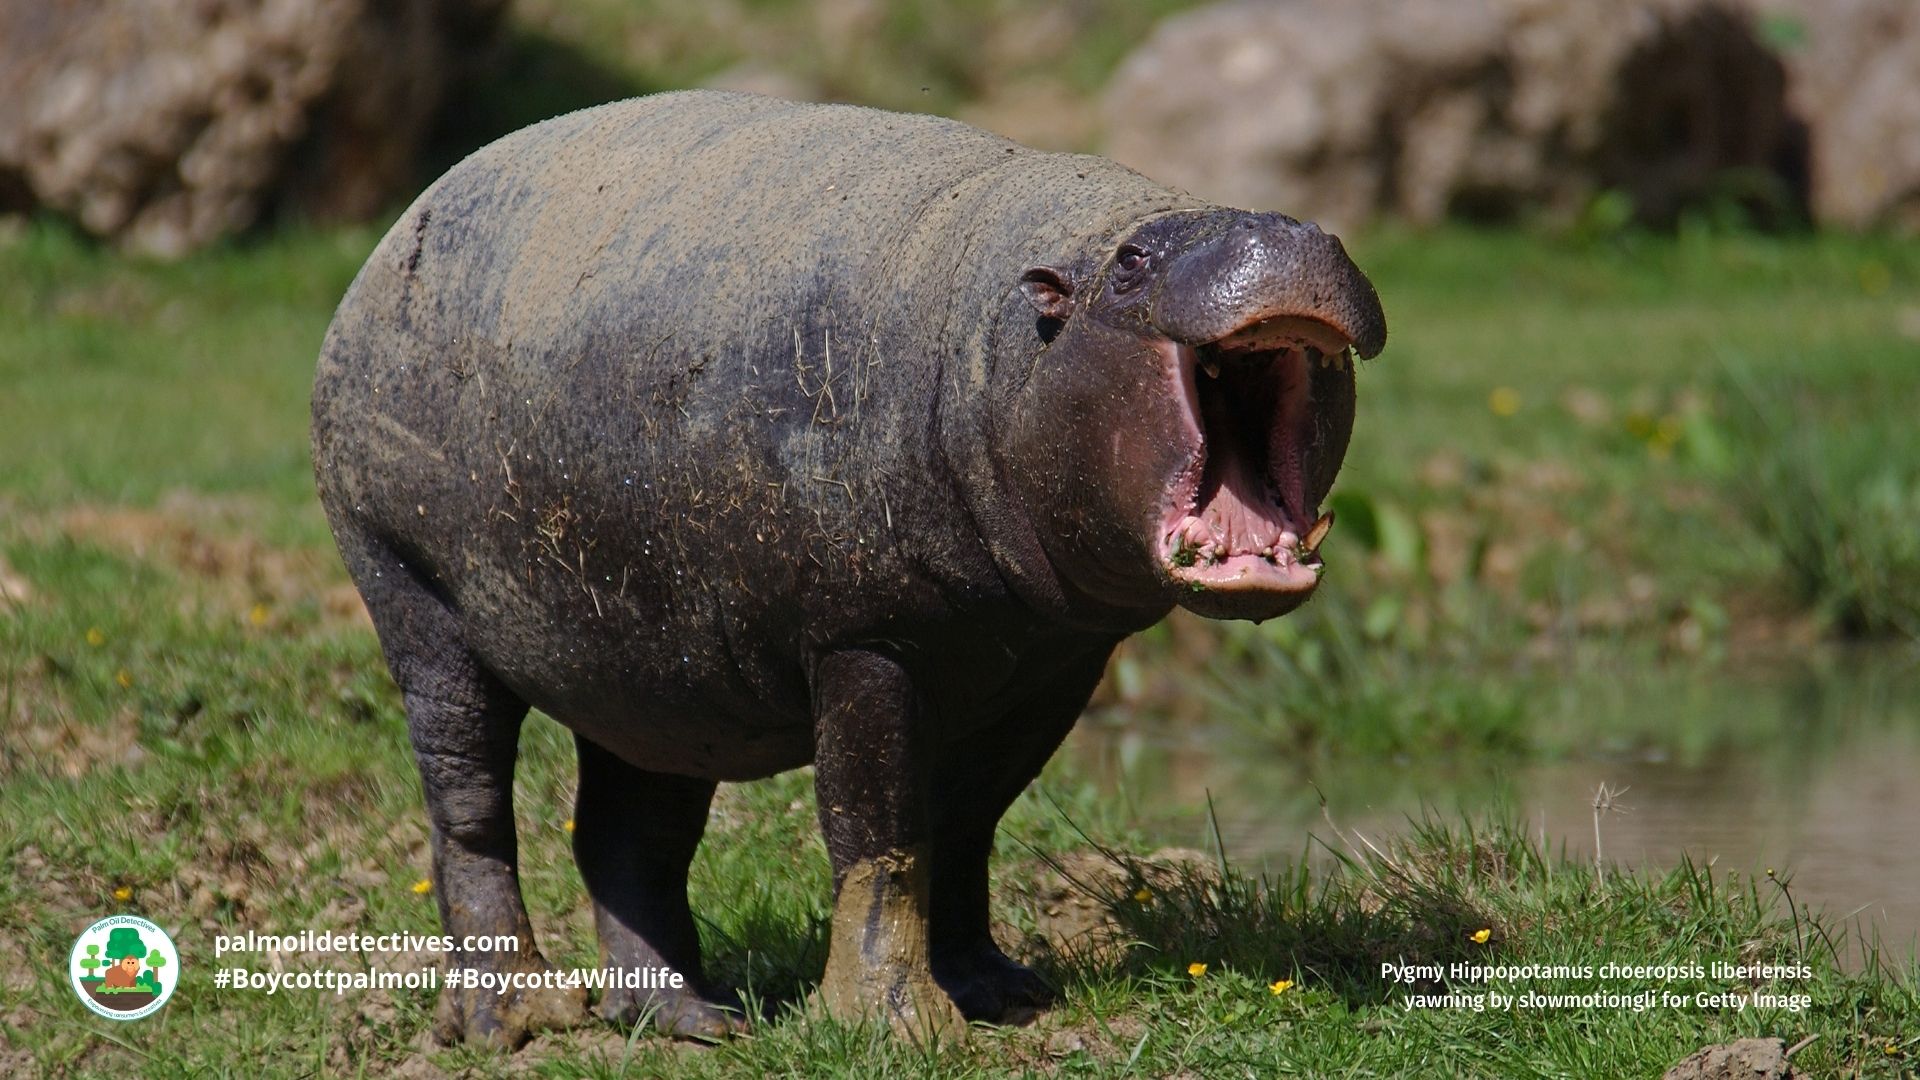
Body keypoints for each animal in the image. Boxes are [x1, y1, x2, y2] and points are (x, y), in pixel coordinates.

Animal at [311, 90, 1385, 1046]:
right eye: (1131, 263)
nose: (1292, 231)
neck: (1003, 335)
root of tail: (390, 240)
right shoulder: (868, 641)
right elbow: (879, 833)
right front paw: (901, 1028)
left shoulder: (1052, 661)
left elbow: (965, 821)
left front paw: (1001, 995)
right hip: (414, 600)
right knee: (468, 807)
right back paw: (512, 1020)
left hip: (651, 672)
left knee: (627, 836)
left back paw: (693, 1023)